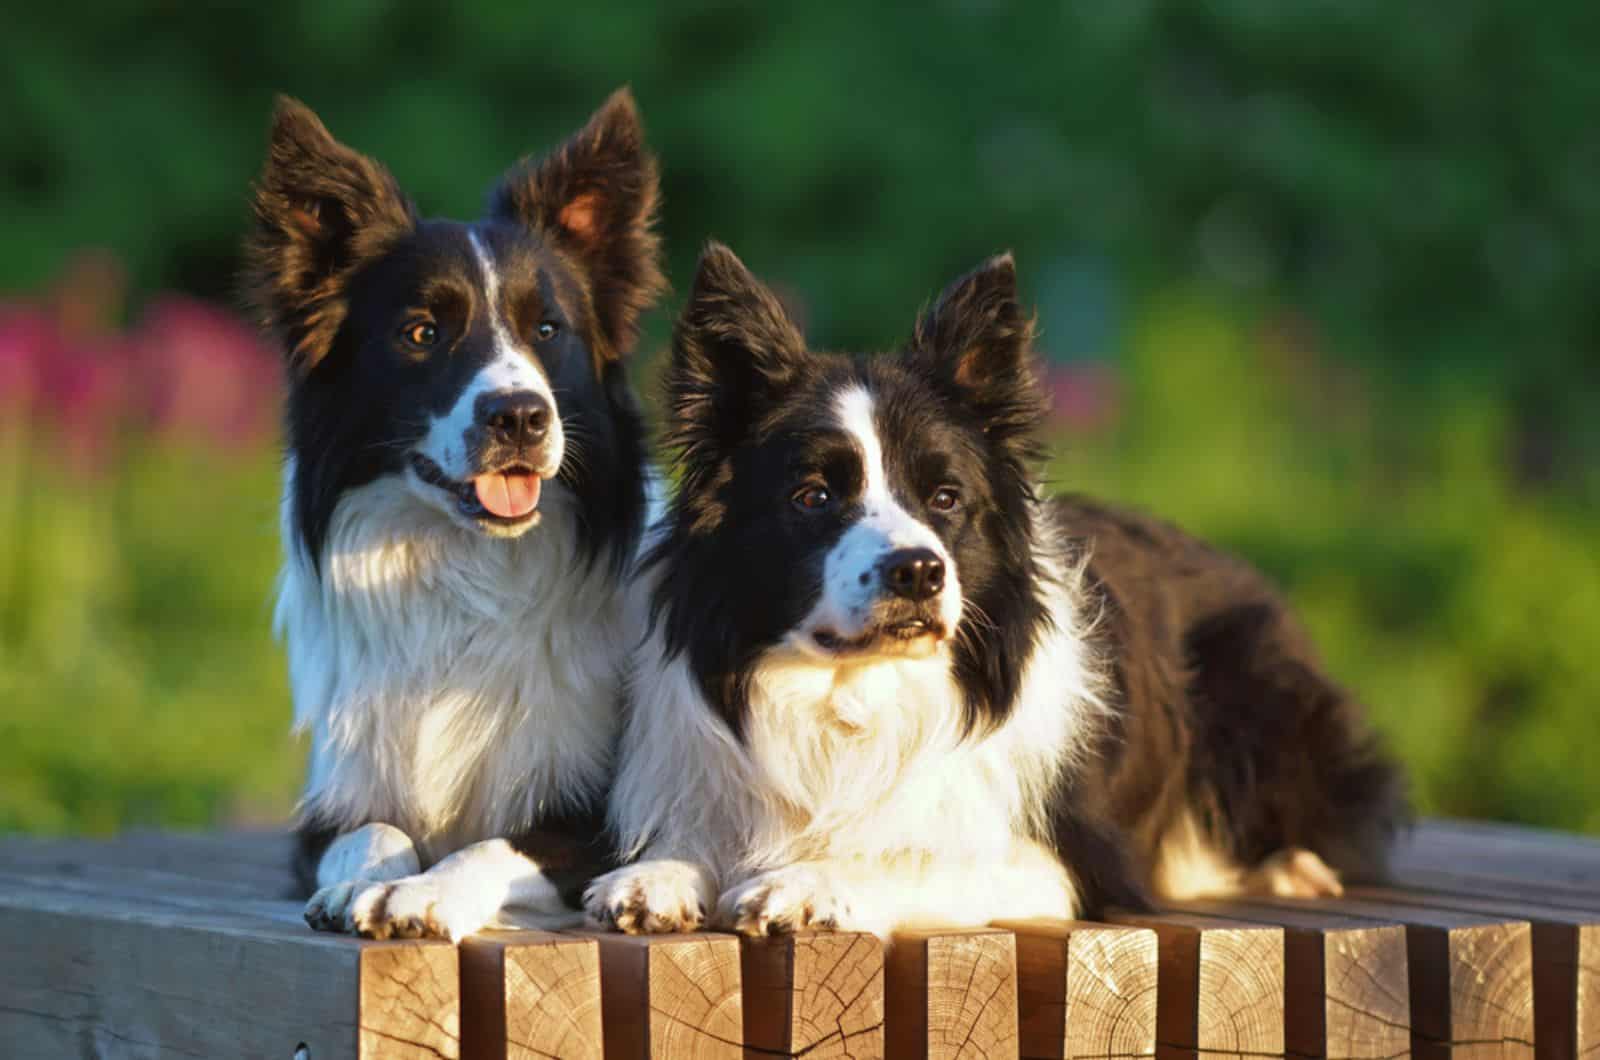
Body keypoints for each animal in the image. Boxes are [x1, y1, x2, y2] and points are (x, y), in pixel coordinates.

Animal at [246, 89, 659, 941]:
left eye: (548, 330)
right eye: (421, 333)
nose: (521, 416)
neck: (464, 569)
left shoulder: (599, 816)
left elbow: (493, 846)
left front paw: (422, 894)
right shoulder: (330, 804)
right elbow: (375, 832)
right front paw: (363, 881)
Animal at [585, 246, 1401, 941]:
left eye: (946, 498)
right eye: (813, 496)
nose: (918, 571)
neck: (857, 691)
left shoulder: (1061, 864)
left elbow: (913, 856)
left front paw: (808, 880)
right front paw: (658, 873)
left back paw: (1290, 865)